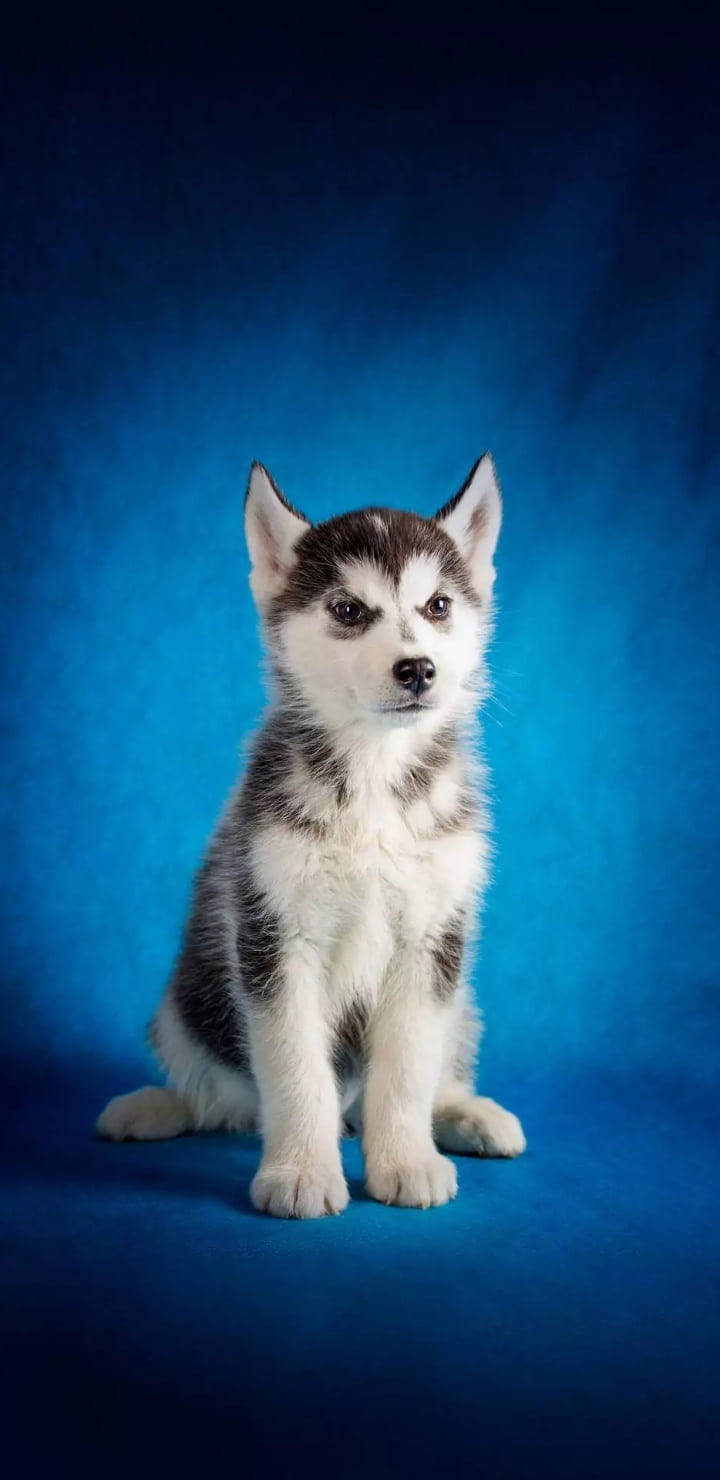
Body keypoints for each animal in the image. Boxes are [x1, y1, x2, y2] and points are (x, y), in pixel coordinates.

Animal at [97, 458, 524, 1213]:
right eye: (348, 610)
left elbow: (407, 1067)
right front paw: (299, 1173)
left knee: (430, 1070)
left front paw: (406, 1159)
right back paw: (155, 1107)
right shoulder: (273, 933)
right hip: (183, 1002)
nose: (418, 669)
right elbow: (295, 1069)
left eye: (438, 606)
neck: (376, 771)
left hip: (462, 999)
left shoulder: (432, 938)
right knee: (217, 1096)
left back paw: (467, 1114)